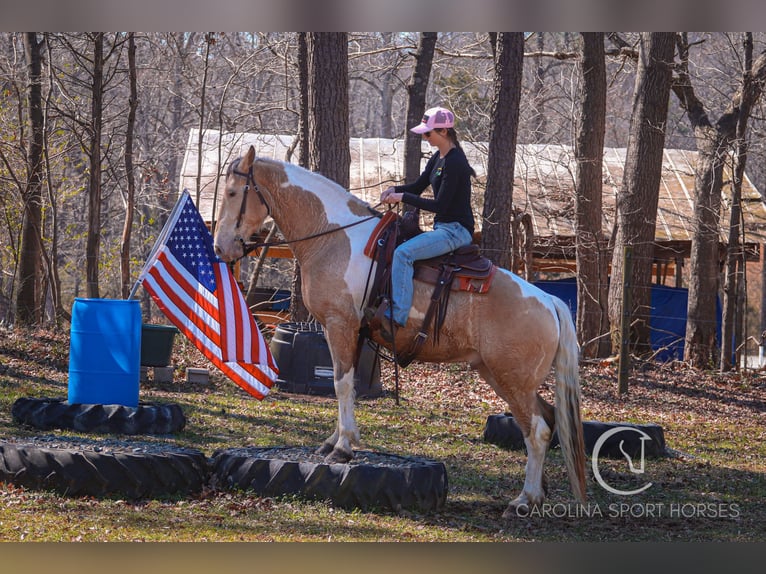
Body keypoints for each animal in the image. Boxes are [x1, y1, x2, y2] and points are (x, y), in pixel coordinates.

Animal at [214, 147, 588, 516]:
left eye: (232, 192)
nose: (220, 248)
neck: (334, 236)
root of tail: (549, 301)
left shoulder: (339, 324)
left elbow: (341, 383)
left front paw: (343, 448)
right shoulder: (350, 332)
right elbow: (346, 385)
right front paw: (336, 441)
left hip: (512, 381)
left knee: (537, 432)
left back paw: (524, 499)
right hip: (499, 375)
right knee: (546, 421)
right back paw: (537, 495)